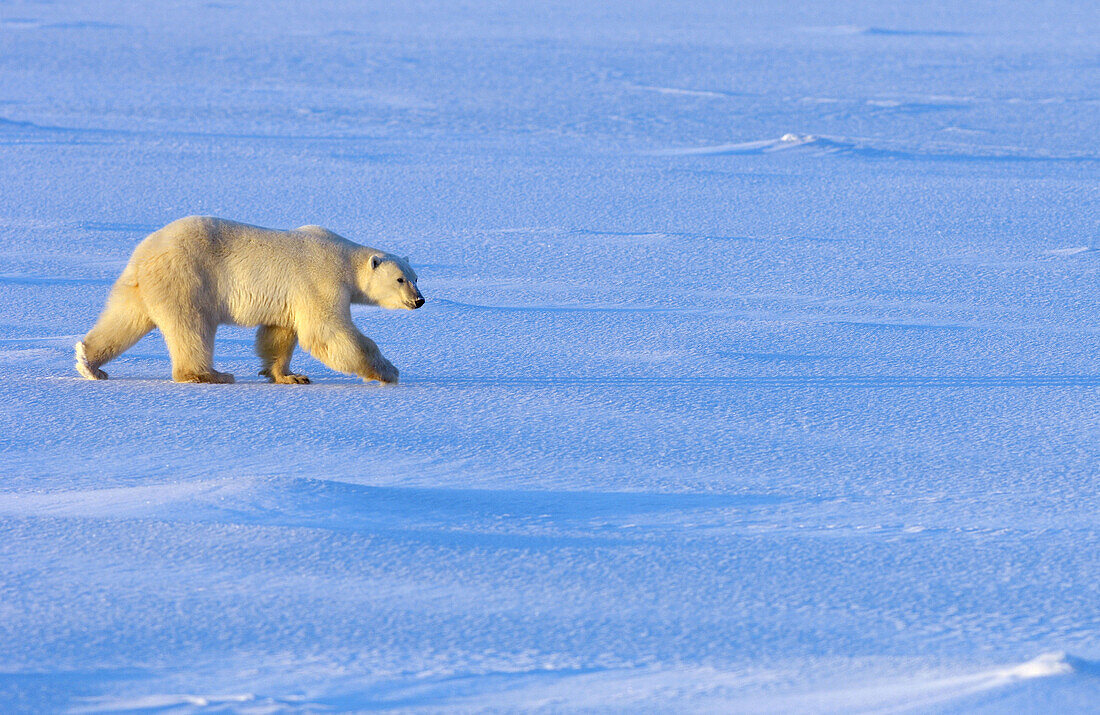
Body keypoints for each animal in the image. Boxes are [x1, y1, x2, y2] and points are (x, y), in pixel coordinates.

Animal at [73, 215, 422, 385]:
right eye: (400, 279)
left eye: (416, 277)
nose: (419, 301)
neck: (344, 259)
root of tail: (146, 252)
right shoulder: (321, 282)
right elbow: (328, 332)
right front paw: (389, 372)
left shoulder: (291, 298)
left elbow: (279, 334)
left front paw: (289, 376)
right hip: (188, 279)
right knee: (192, 327)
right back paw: (210, 375)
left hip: (142, 286)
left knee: (123, 320)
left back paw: (89, 363)